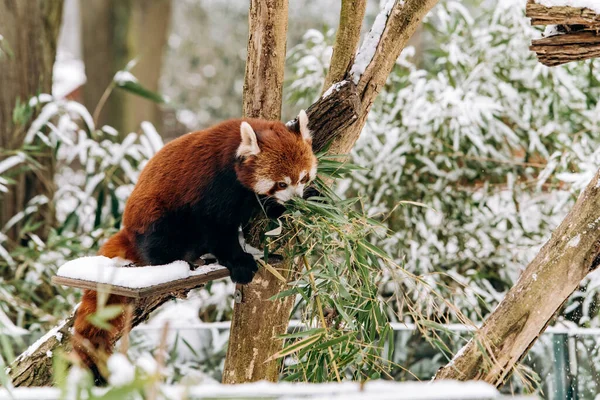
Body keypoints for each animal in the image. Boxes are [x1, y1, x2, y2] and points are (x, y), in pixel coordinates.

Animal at [74, 110, 318, 384]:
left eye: (303, 177)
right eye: (281, 184)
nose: (296, 199)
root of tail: (128, 231)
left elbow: (265, 207)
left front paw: (310, 200)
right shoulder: (214, 187)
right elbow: (218, 228)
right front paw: (240, 262)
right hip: (157, 217)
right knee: (160, 243)